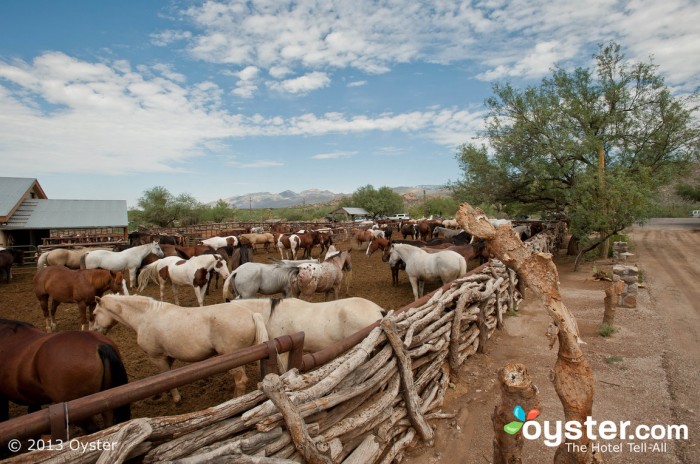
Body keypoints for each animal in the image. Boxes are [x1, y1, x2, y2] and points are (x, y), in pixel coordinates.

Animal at [91, 296, 270, 400]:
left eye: (93, 314)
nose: (94, 331)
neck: (145, 316)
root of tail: (251, 314)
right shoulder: (167, 357)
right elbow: (166, 376)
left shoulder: (157, 357)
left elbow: (165, 376)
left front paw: (176, 399)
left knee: (240, 381)